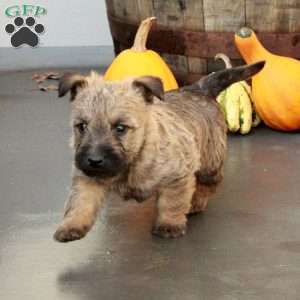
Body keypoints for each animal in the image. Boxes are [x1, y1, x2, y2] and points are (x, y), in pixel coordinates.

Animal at [53, 61, 262, 241]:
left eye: (120, 128)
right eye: (81, 126)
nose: (94, 160)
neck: (133, 159)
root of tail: (198, 88)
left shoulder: (177, 176)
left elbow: (172, 203)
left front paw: (169, 225)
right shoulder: (87, 179)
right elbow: (80, 202)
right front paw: (71, 226)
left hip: (210, 163)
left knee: (207, 184)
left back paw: (196, 202)